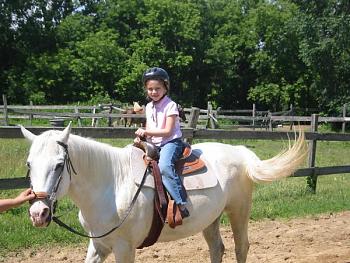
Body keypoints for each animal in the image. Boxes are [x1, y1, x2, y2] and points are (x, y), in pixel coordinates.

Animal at [21, 124, 306, 263]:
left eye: (59, 165)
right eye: (29, 164)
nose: (38, 213)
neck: (111, 186)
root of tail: (240, 152)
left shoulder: (125, 249)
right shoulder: (98, 246)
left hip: (239, 210)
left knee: (241, 247)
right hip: (211, 219)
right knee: (217, 248)